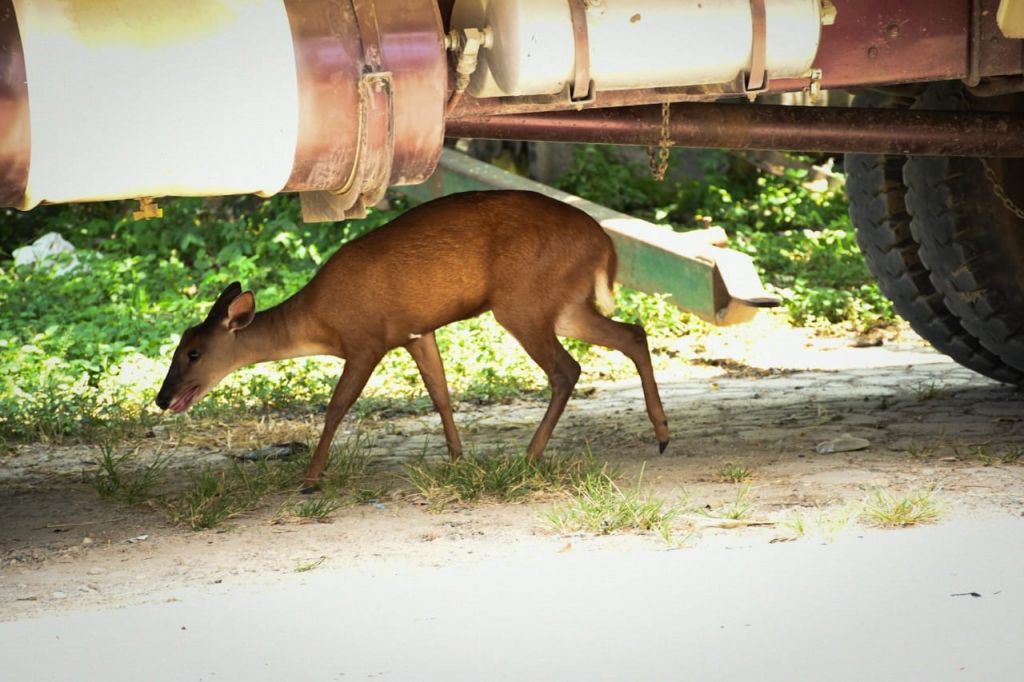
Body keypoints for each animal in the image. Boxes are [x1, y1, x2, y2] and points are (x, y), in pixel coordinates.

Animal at [155, 188, 667, 485]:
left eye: (193, 352)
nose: (162, 398)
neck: (319, 320)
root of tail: (604, 244)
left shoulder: (367, 340)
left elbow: (336, 407)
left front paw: (312, 477)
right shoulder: (415, 331)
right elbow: (440, 393)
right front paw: (457, 457)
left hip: (523, 302)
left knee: (567, 369)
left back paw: (530, 455)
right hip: (564, 305)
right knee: (633, 334)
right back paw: (661, 434)